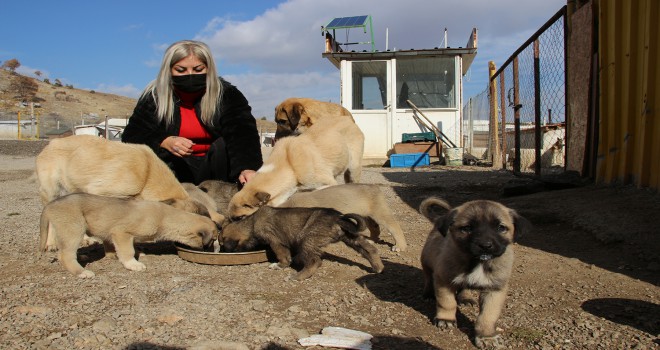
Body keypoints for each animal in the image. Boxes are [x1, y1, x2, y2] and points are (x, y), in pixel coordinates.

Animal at [40, 193, 217, 278]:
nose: (212, 252)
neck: (165, 218)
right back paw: (82, 272)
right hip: (74, 229)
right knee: (65, 255)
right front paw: (133, 264)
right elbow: (127, 251)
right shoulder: (121, 233)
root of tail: (50, 205)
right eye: (212, 240)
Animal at [219, 206, 384, 280]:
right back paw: (378, 267)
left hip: (307, 239)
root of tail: (337, 218)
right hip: (351, 236)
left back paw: (298, 276)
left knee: (315, 261)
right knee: (370, 249)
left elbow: (283, 256)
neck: (251, 223)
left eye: (221, 244)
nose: (220, 251)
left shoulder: (275, 241)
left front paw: (280, 265)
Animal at [278, 183, 408, 252]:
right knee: (375, 228)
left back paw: (400, 246)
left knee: (394, 227)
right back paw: (372, 239)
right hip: (366, 215)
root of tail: (374, 186)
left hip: (380, 213)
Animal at [422, 197, 532, 348]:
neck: (478, 262)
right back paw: (428, 293)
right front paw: (446, 319)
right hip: (427, 260)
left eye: (501, 227)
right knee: (428, 277)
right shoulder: (443, 280)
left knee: (465, 287)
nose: (485, 246)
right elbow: (447, 302)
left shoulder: (494, 290)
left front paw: (486, 336)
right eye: (467, 228)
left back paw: (466, 298)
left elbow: (487, 316)